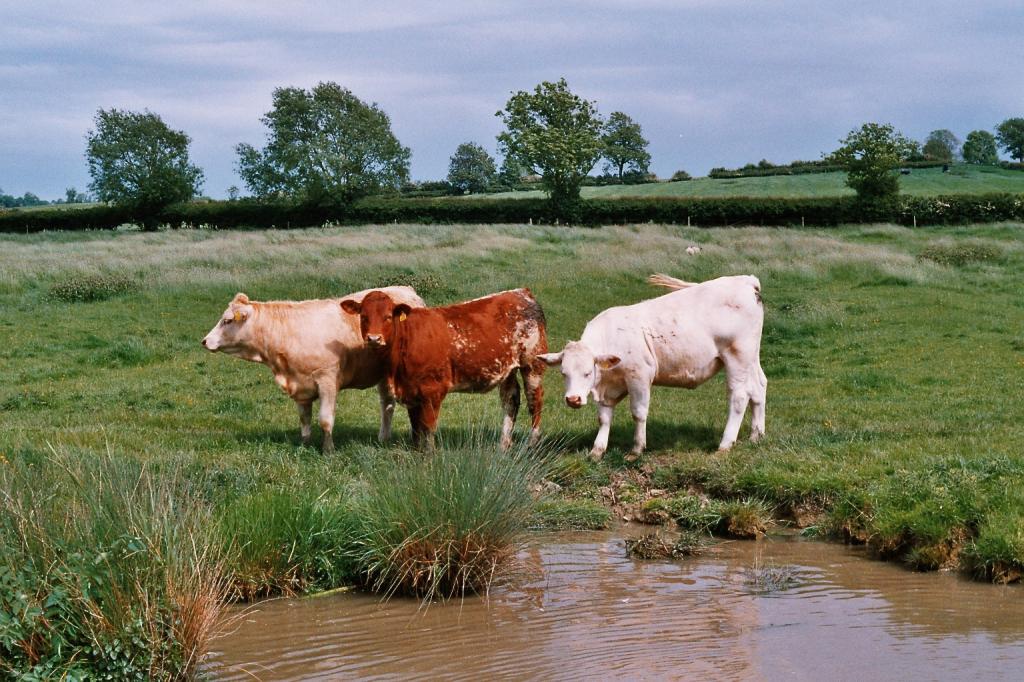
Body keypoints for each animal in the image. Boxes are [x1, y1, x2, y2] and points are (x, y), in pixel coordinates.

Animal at [199, 284, 423, 450]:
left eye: (227, 320)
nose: (205, 341)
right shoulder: (299, 384)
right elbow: (304, 419)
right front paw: (305, 445)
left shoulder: (327, 380)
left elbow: (325, 419)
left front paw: (328, 450)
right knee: (387, 404)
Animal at [342, 288, 548, 448]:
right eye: (364, 316)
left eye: (387, 317)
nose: (374, 338)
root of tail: (522, 292)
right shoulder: (411, 392)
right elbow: (416, 429)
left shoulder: (433, 391)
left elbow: (428, 429)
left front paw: (428, 459)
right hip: (507, 369)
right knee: (510, 401)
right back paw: (503, 445)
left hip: (533, 364)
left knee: (535, 402)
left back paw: (532, 444)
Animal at [540, 270, 765, 456]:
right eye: (563, 373)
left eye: (588, 372)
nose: (573, 399)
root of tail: (746, 280)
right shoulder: (608, 387)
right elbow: (604, 417)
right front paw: (597, 451)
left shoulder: (639, 376)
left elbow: (638, 413)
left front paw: (636, 450)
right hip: (751, 357)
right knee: (759, 388)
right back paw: (756, 436)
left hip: (737, 357)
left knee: (739, 397)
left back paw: (725, 445)